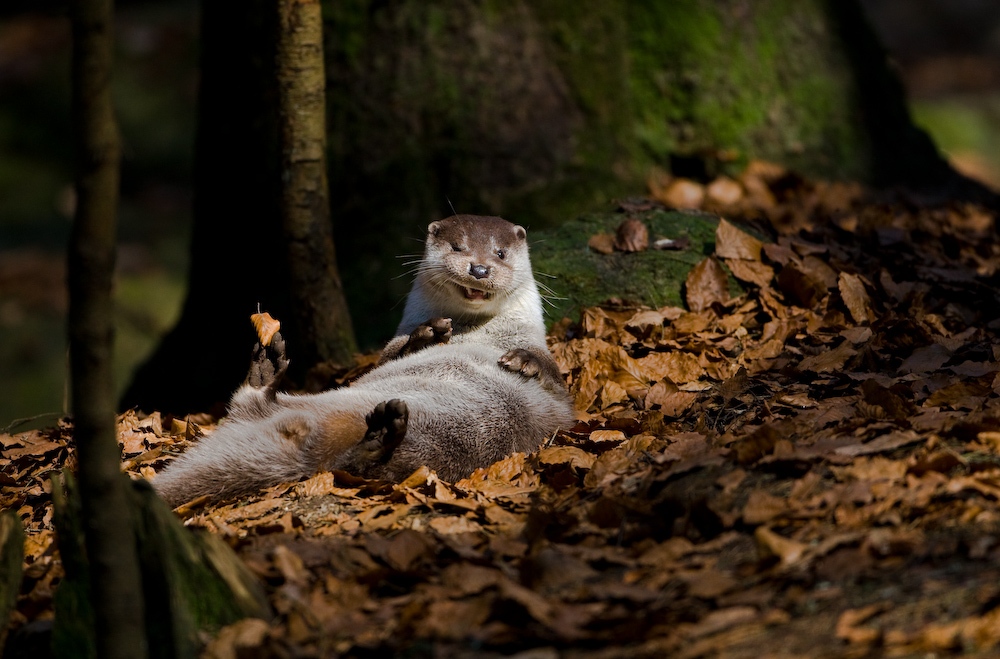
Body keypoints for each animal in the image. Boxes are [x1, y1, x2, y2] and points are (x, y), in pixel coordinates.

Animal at [152, 214, 576, 508]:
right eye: (458, 247)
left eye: (500, 253)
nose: (480, 268)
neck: (477, 329)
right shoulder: (390, 343)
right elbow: (388, 355)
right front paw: (427, 335)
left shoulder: (552, 380)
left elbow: (558, 382)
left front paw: (525, 361)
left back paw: (375, 437)